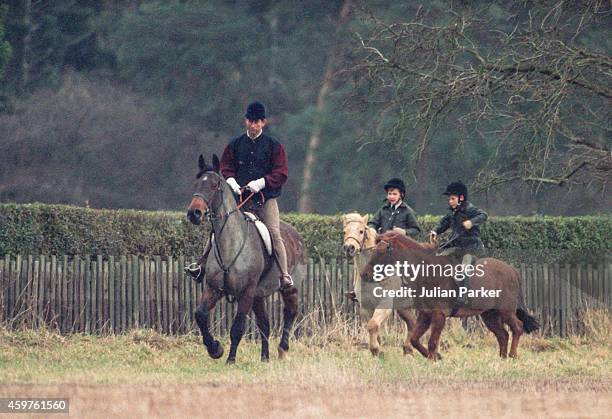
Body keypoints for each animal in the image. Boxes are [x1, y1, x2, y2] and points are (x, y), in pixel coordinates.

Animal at [342, 215, 418, 356]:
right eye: (344, 231)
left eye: (361, 231)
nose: (349, 248)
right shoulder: (365, 307)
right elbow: (372, 326)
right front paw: (377, 346)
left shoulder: (385, 304)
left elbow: (373, 325)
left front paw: (376, 349)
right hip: (403, 306)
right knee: (412, 322)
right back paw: (408, 348)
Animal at [360, 231, 536, 360]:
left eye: (382, 252)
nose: (364, 274)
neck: (429, 272)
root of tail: (512, 270)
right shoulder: (425, 315)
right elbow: (415, 340)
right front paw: (435, 357)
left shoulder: (439, 315)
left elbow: (432, 341)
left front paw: (433, 358)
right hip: (489, 315)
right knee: (503, 335)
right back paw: (502, 357)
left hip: (506, 311)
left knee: (517, 327)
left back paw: (512, 355)